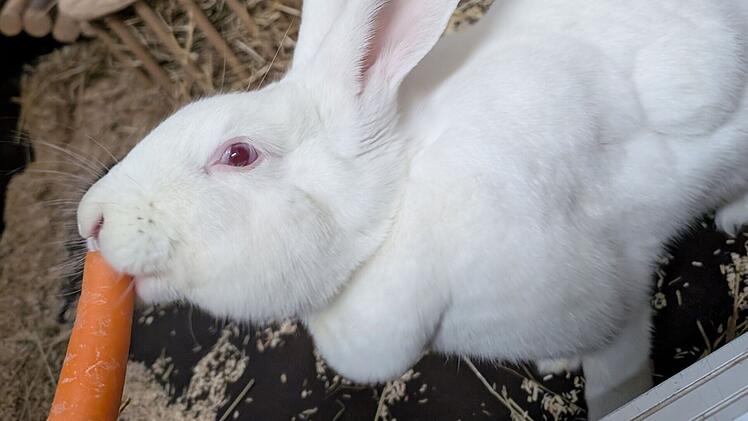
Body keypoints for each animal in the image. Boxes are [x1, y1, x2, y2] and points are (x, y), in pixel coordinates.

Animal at [77, 0, 748, 419]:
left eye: (238, 154)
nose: (91, 220)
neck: (397, 205)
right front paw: (556, 361)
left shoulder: (615, 313)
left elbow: (618, 383)